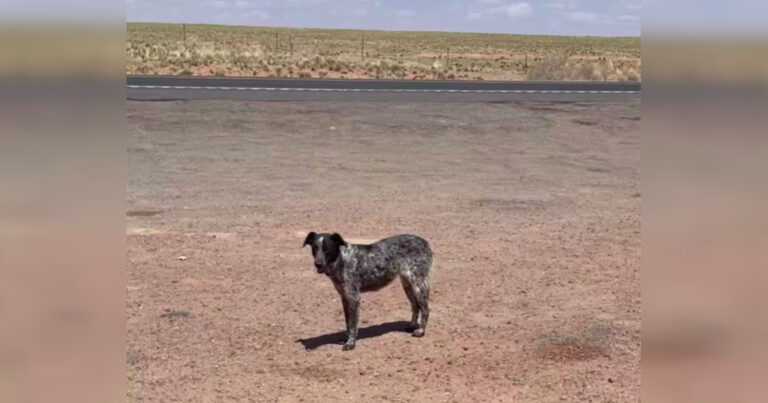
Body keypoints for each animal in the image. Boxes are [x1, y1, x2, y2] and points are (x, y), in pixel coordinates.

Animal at [304, 234, 432, 350]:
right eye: (315, 248)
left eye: (327, 248)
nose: (318, 264)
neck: (342, 260)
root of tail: (425, 242)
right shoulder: (344, 297)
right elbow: (347, 323)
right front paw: (347, 338)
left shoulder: (354, 298)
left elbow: (353, 324)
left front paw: (351, 343)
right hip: (407, 284)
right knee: (415, 306)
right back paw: (412, 325)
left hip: (418, 284)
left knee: (425, 309)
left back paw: (421, 331)